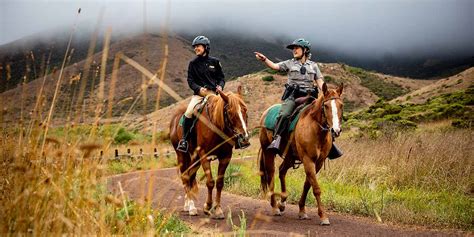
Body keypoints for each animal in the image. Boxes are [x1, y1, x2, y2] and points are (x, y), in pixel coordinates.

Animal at [170, 86, 252, 219]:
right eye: (230, 112)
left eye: (245, 110)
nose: (244, 138)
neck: (216, 125)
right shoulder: (204, 156)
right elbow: (210, 182)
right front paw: (207, 206)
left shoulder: (225, 157)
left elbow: (219, 183)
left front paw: (217, 209)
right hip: (181, 155)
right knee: (185, 176)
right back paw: (191, 207)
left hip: (195, 158)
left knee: (190, 176)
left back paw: (188, 204)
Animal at [260, 82, 344, 225]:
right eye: (326, 106)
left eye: (341, 105)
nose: (336, 130)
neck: (316, 130)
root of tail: (266, 112)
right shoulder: (308, 159)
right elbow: (316, 188)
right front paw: (323, 216)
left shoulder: (318, 163)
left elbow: (307, 185)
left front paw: (302, 211)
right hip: (268, 152)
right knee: (271, 174)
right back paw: (275, 207)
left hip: (289, 157)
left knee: (282, 171)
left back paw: (283, 202)